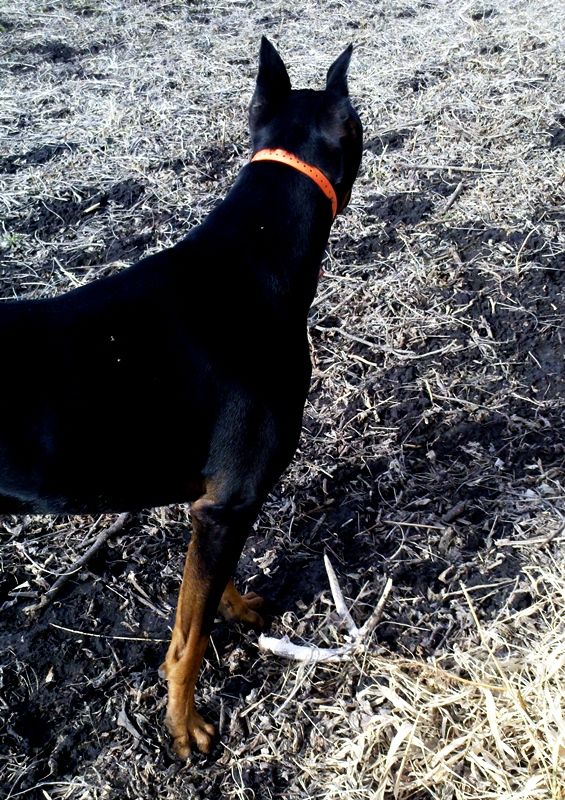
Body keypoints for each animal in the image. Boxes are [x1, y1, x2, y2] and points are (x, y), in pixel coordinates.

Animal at [0, 37, 362, 760]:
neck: (255, 255)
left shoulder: (212, 503)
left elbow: (211, 582)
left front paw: (237, 605)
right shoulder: (232, 497)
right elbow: (186, 640)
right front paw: (184, 724)